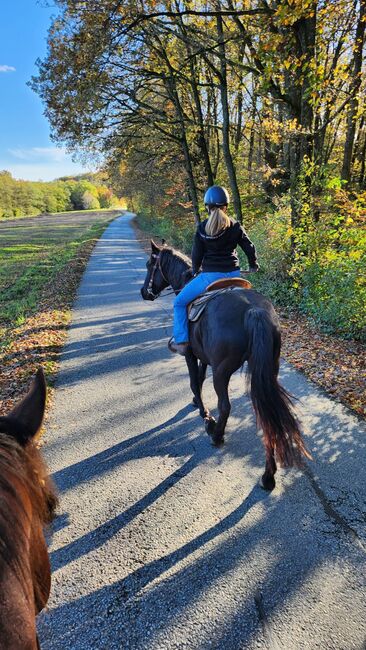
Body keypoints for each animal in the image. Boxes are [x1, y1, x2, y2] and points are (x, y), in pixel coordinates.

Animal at [142, 240, 310, 488]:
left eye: (149, 265)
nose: (144, 292)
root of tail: (253, 311)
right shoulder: (204, 357)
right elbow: (200, 378)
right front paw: (197, 403)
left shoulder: (190, 354)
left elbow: (194, 381)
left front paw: (204, 414)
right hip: (268, 369)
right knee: (265, 414)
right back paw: (268, 475)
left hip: (222, 371)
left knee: (226, 406)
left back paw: (216, 434)